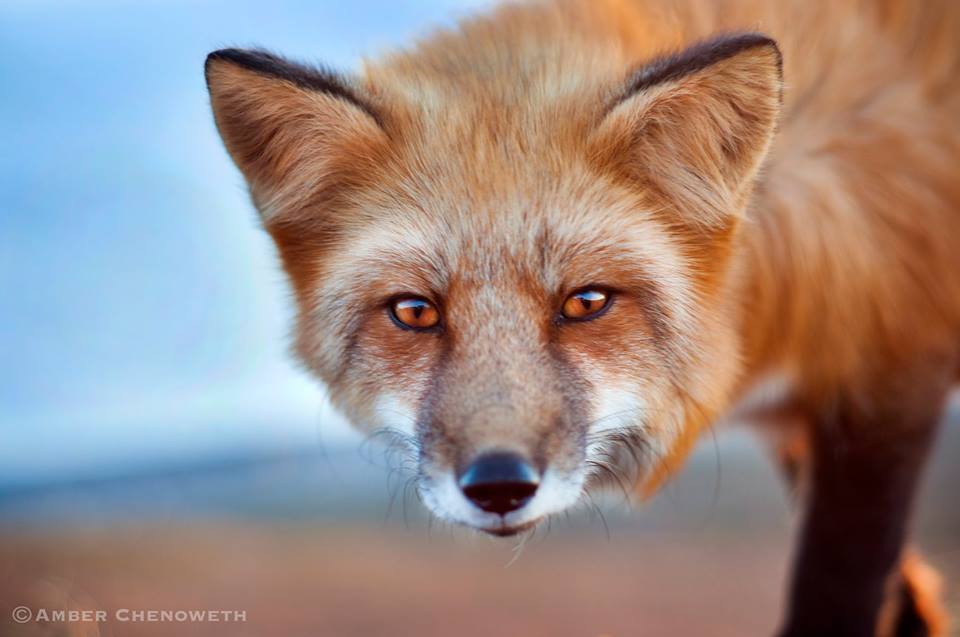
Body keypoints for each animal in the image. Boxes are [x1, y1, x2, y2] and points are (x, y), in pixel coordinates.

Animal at [204, 2, 960, 632]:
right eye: (415, 311)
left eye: (586, 303)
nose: (499, 486)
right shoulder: (807, 424)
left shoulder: (890, 386)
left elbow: (840, 589)